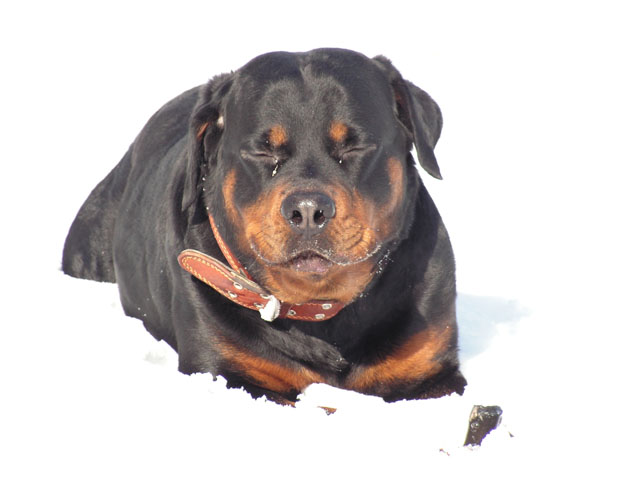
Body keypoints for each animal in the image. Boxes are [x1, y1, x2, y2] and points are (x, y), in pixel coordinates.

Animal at [62, 48, 466, 404]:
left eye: (354, 147)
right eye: (262, 151)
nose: (308, 210)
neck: (319, 312)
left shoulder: (431, 369)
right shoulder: (224, 369)